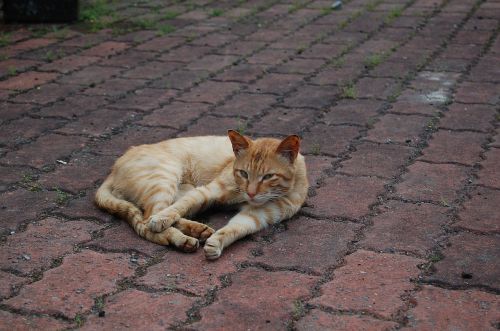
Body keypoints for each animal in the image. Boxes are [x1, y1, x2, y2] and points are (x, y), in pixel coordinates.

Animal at [93, 131, 304, 260]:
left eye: (268, 176)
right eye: (243, 173)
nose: (251, 193)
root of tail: (113, 168)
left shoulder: (257, 214)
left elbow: (235, 228)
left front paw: (217, 243)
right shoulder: (208, 191)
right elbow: (176, 210)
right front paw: (162, 220)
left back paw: (197, 230)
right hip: (166, 178)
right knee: (150, 220)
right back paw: (181, 238)